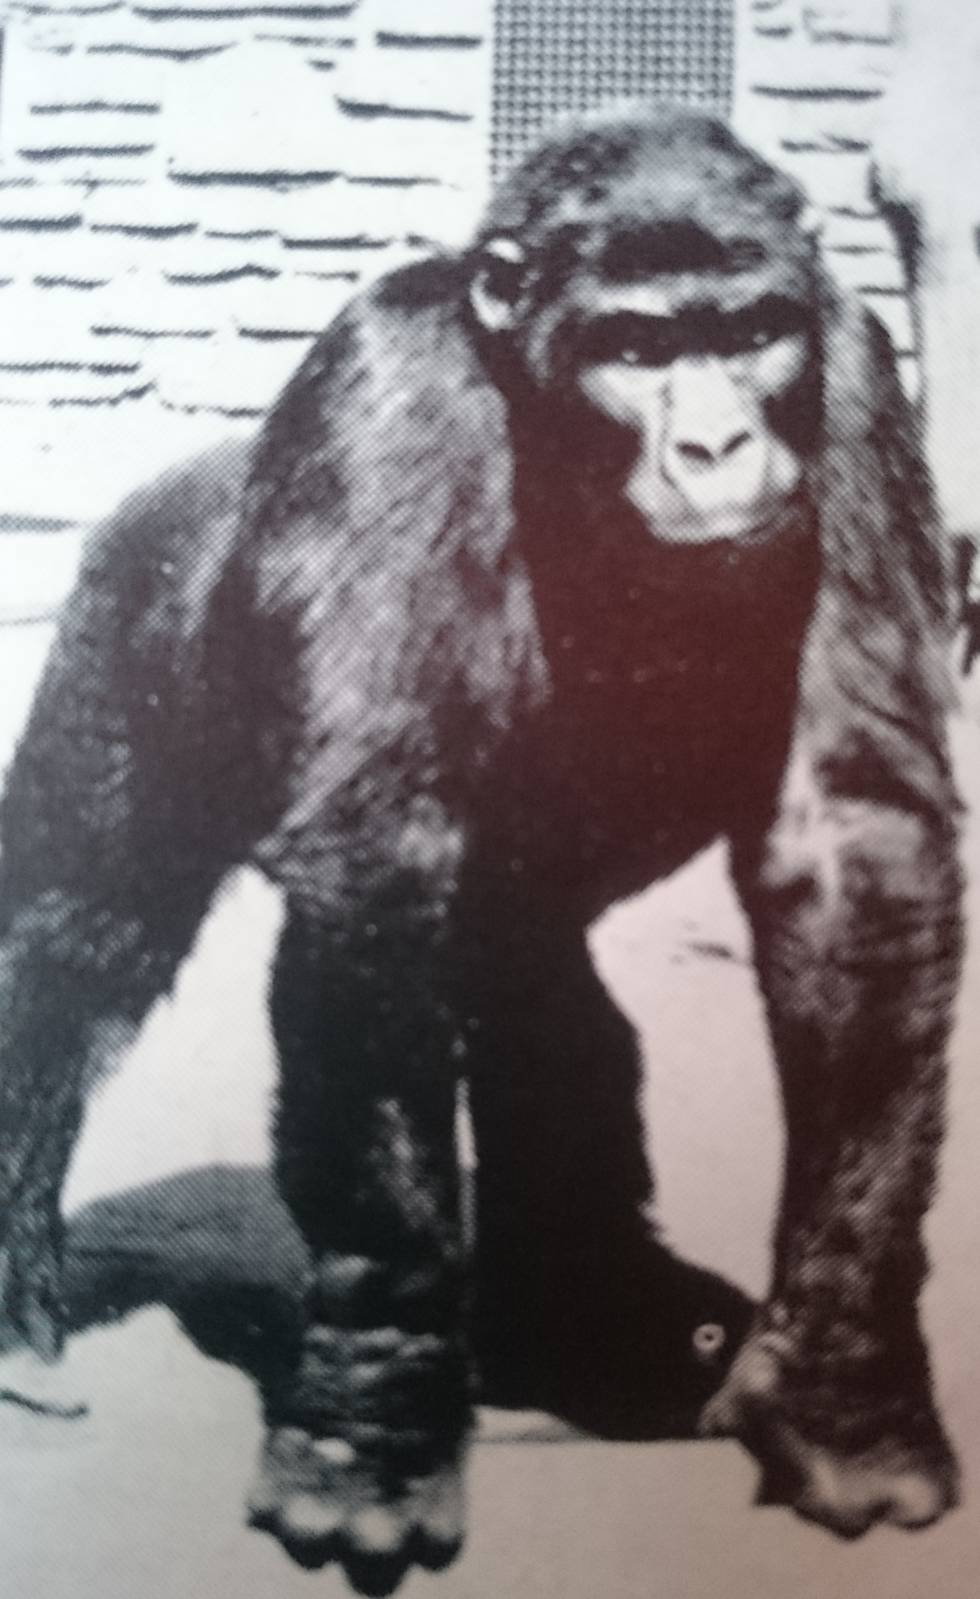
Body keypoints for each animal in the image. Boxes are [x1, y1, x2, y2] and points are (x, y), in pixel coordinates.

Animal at [0, 108, 962, 1590]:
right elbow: (380, 871)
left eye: (750, 333)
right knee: (71, 945)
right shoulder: (387, 388)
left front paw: (842, 1387)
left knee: (543, 1004)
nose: (716, 443)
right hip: (124, 614)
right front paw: (379, 1411)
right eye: (637, 350)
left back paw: (588, 1311)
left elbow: (848, 843)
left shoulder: (851, 378)